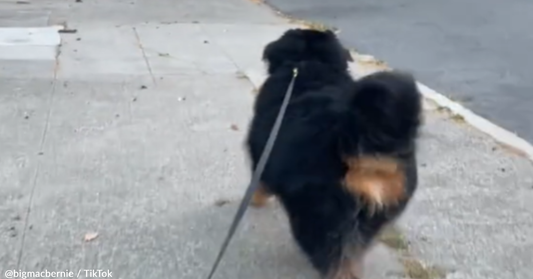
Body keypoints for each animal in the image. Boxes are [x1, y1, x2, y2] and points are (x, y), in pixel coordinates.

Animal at [243, 29, 422, 279]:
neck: (310, 65)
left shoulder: (261, 148)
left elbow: (258, 180)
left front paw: (256, 200)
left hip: (317, 211)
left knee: (331, 254)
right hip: (375, 212)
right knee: (352, 250)